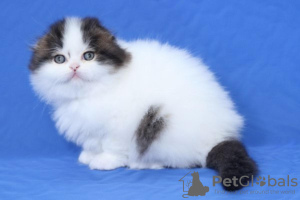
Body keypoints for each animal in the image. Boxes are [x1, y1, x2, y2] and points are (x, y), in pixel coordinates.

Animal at [28, 17, 258, 191]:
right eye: (60, 59)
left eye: (89, 56)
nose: (74, 67)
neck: (89, 94)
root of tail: (221, 136)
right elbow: (93, 141)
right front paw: (90, 154)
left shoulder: (120, 125)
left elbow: (112, 146)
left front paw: (105, 161)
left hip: (162, 125)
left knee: (186, 159)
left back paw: (145, 163)